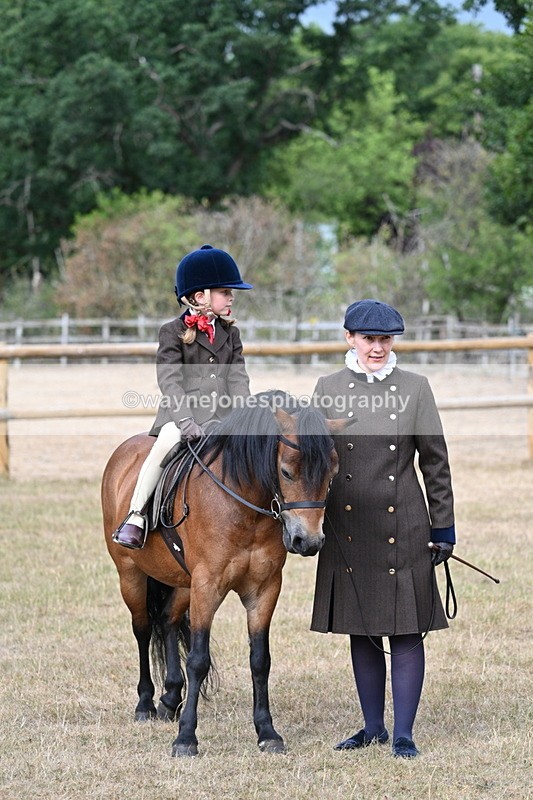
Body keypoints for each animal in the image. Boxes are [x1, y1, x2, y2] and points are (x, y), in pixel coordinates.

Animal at [102, 397, 347, 757]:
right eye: (286, 471)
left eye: (332, 474)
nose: (309, 541)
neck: (243, 503)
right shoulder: (208, 585)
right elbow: (198, 660)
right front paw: (186, 738)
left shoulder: (264, 588)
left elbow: (260, 660)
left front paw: (267, 732)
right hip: (130, 574)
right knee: (143, 629)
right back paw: (145, 704)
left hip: (183, 582)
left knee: (168, 619)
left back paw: (170, 698)